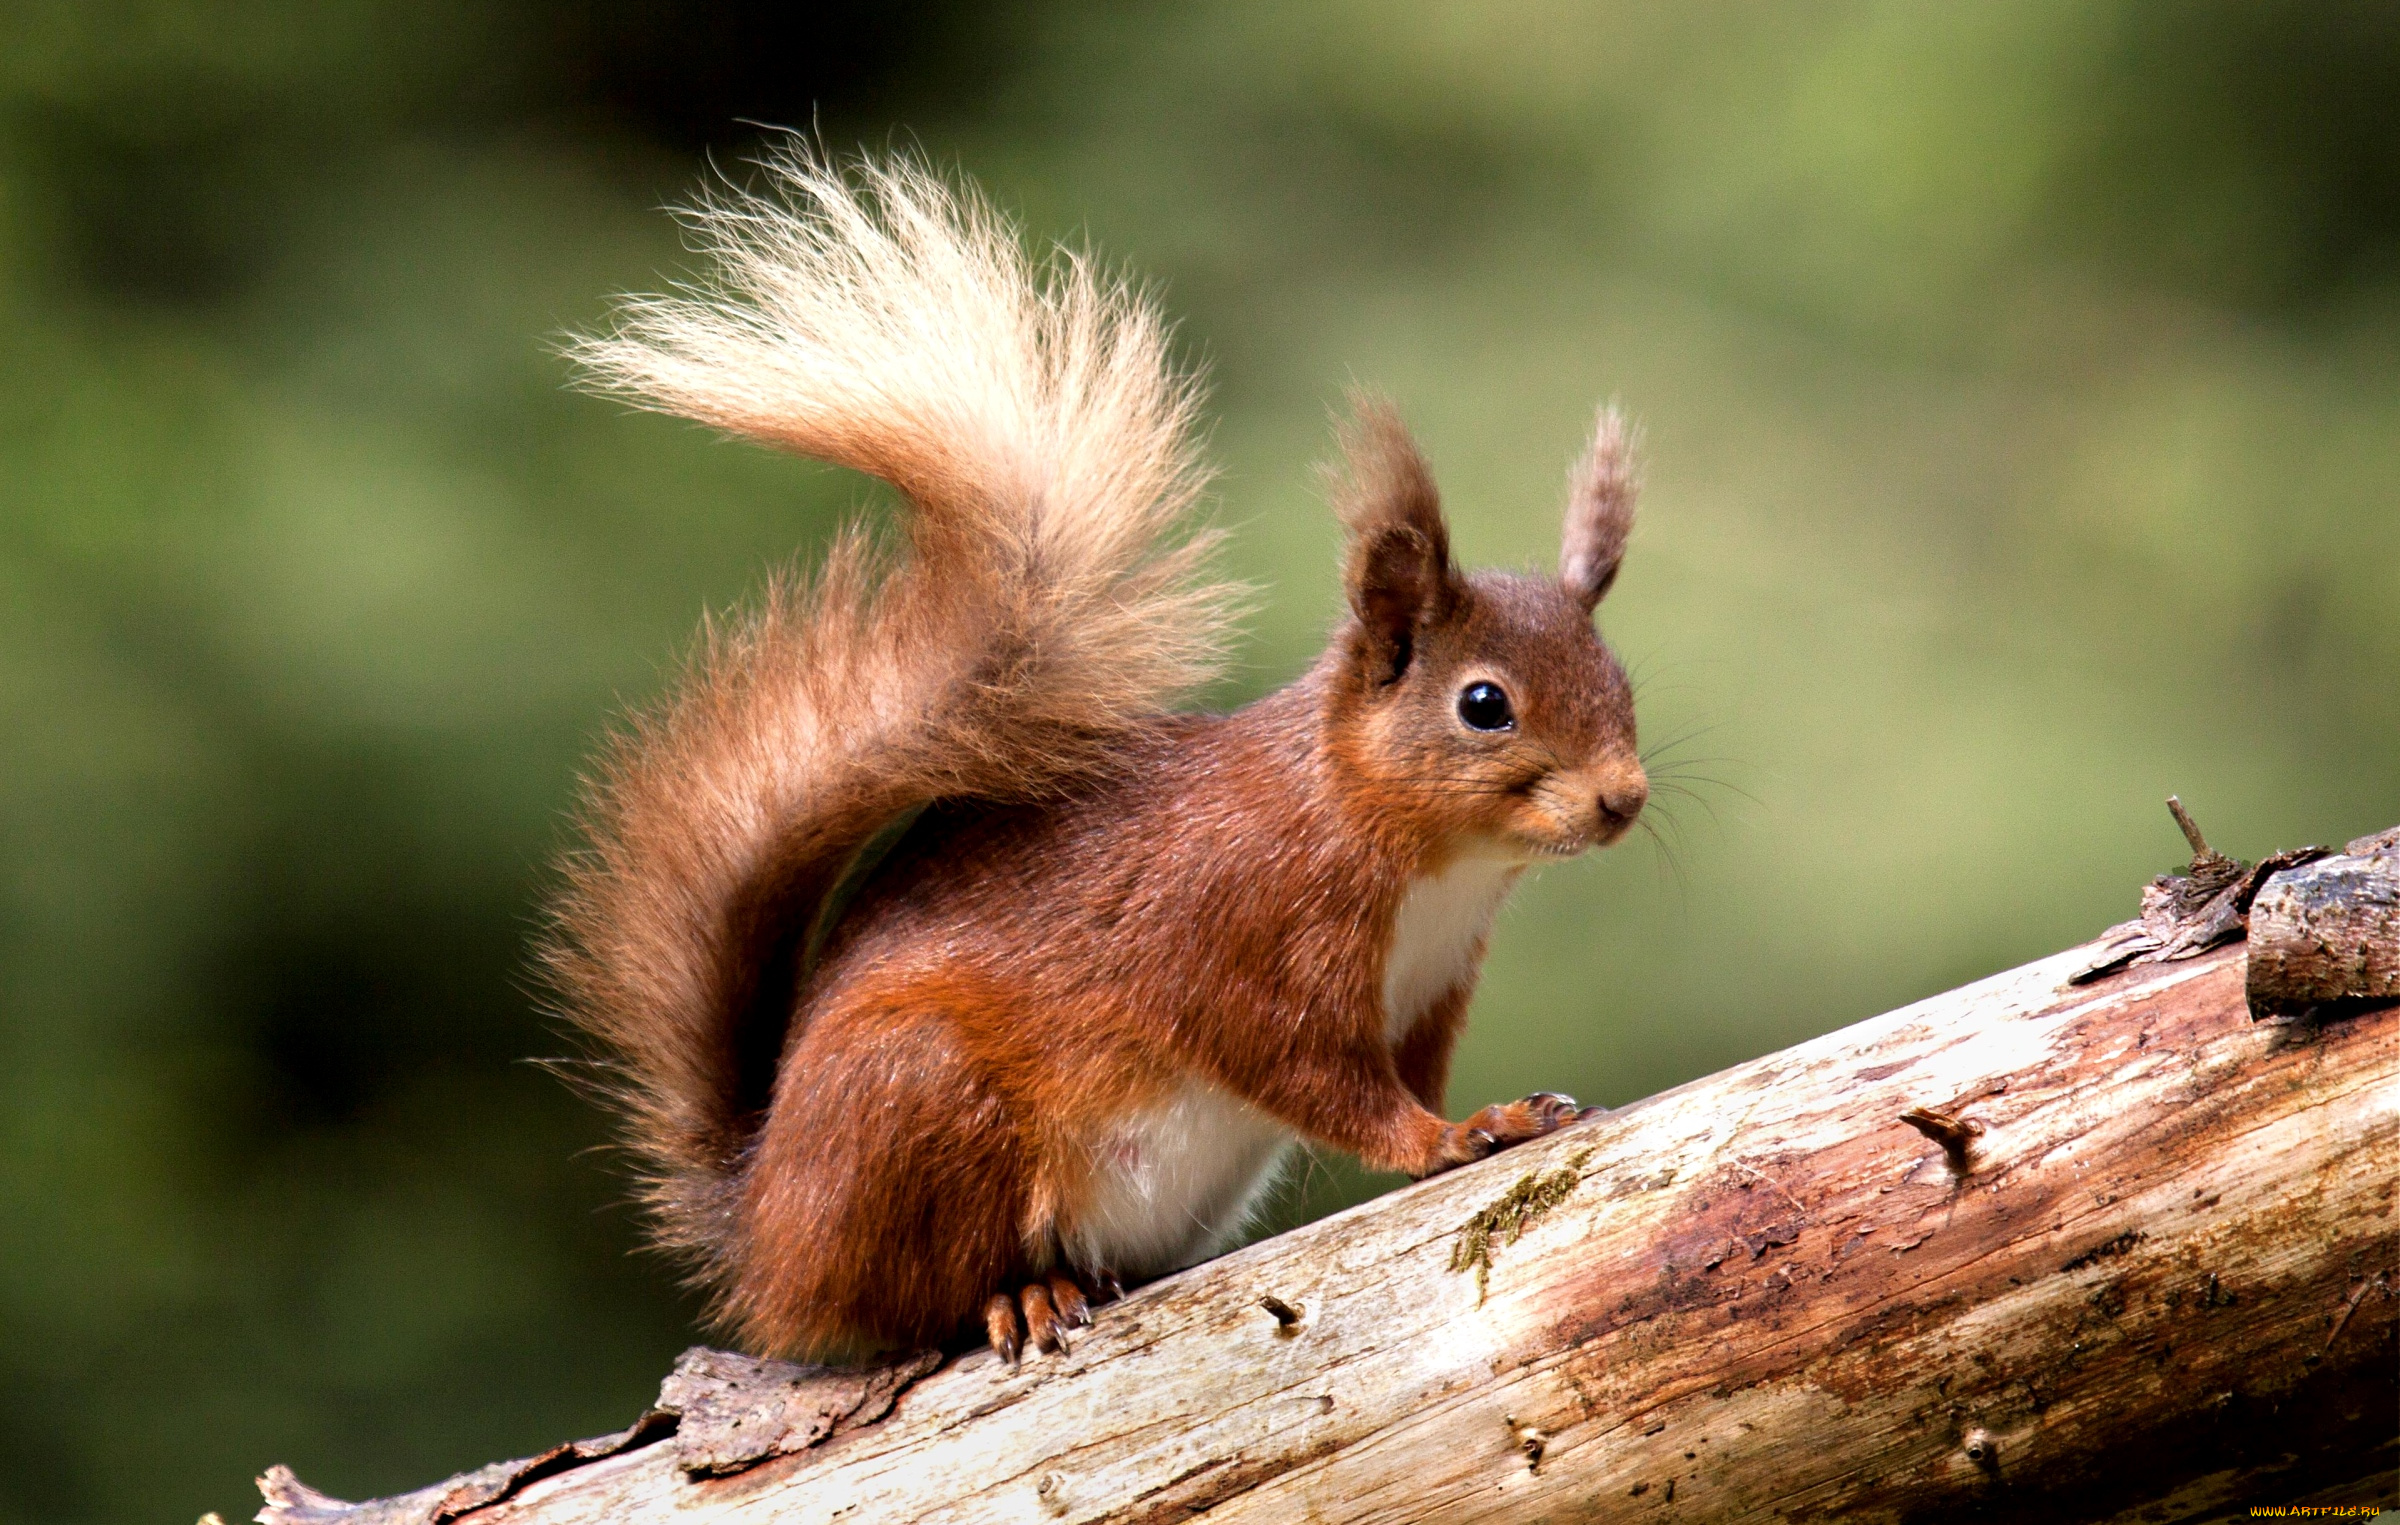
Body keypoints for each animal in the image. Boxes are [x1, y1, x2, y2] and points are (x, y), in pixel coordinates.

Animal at [540, 151, 1651, 1373]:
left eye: (1624, 682)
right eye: (1484, 704)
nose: (1624, 799)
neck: (1427, 862)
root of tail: (765, 1237)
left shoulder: (1433, 988)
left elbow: (1413, 1068)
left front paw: (1499, 1112)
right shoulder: (1242, 934)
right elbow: (1322, 1079)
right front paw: (1450, 1134)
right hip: (918, 1099)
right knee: (918, 1299)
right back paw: (1023, 1293)